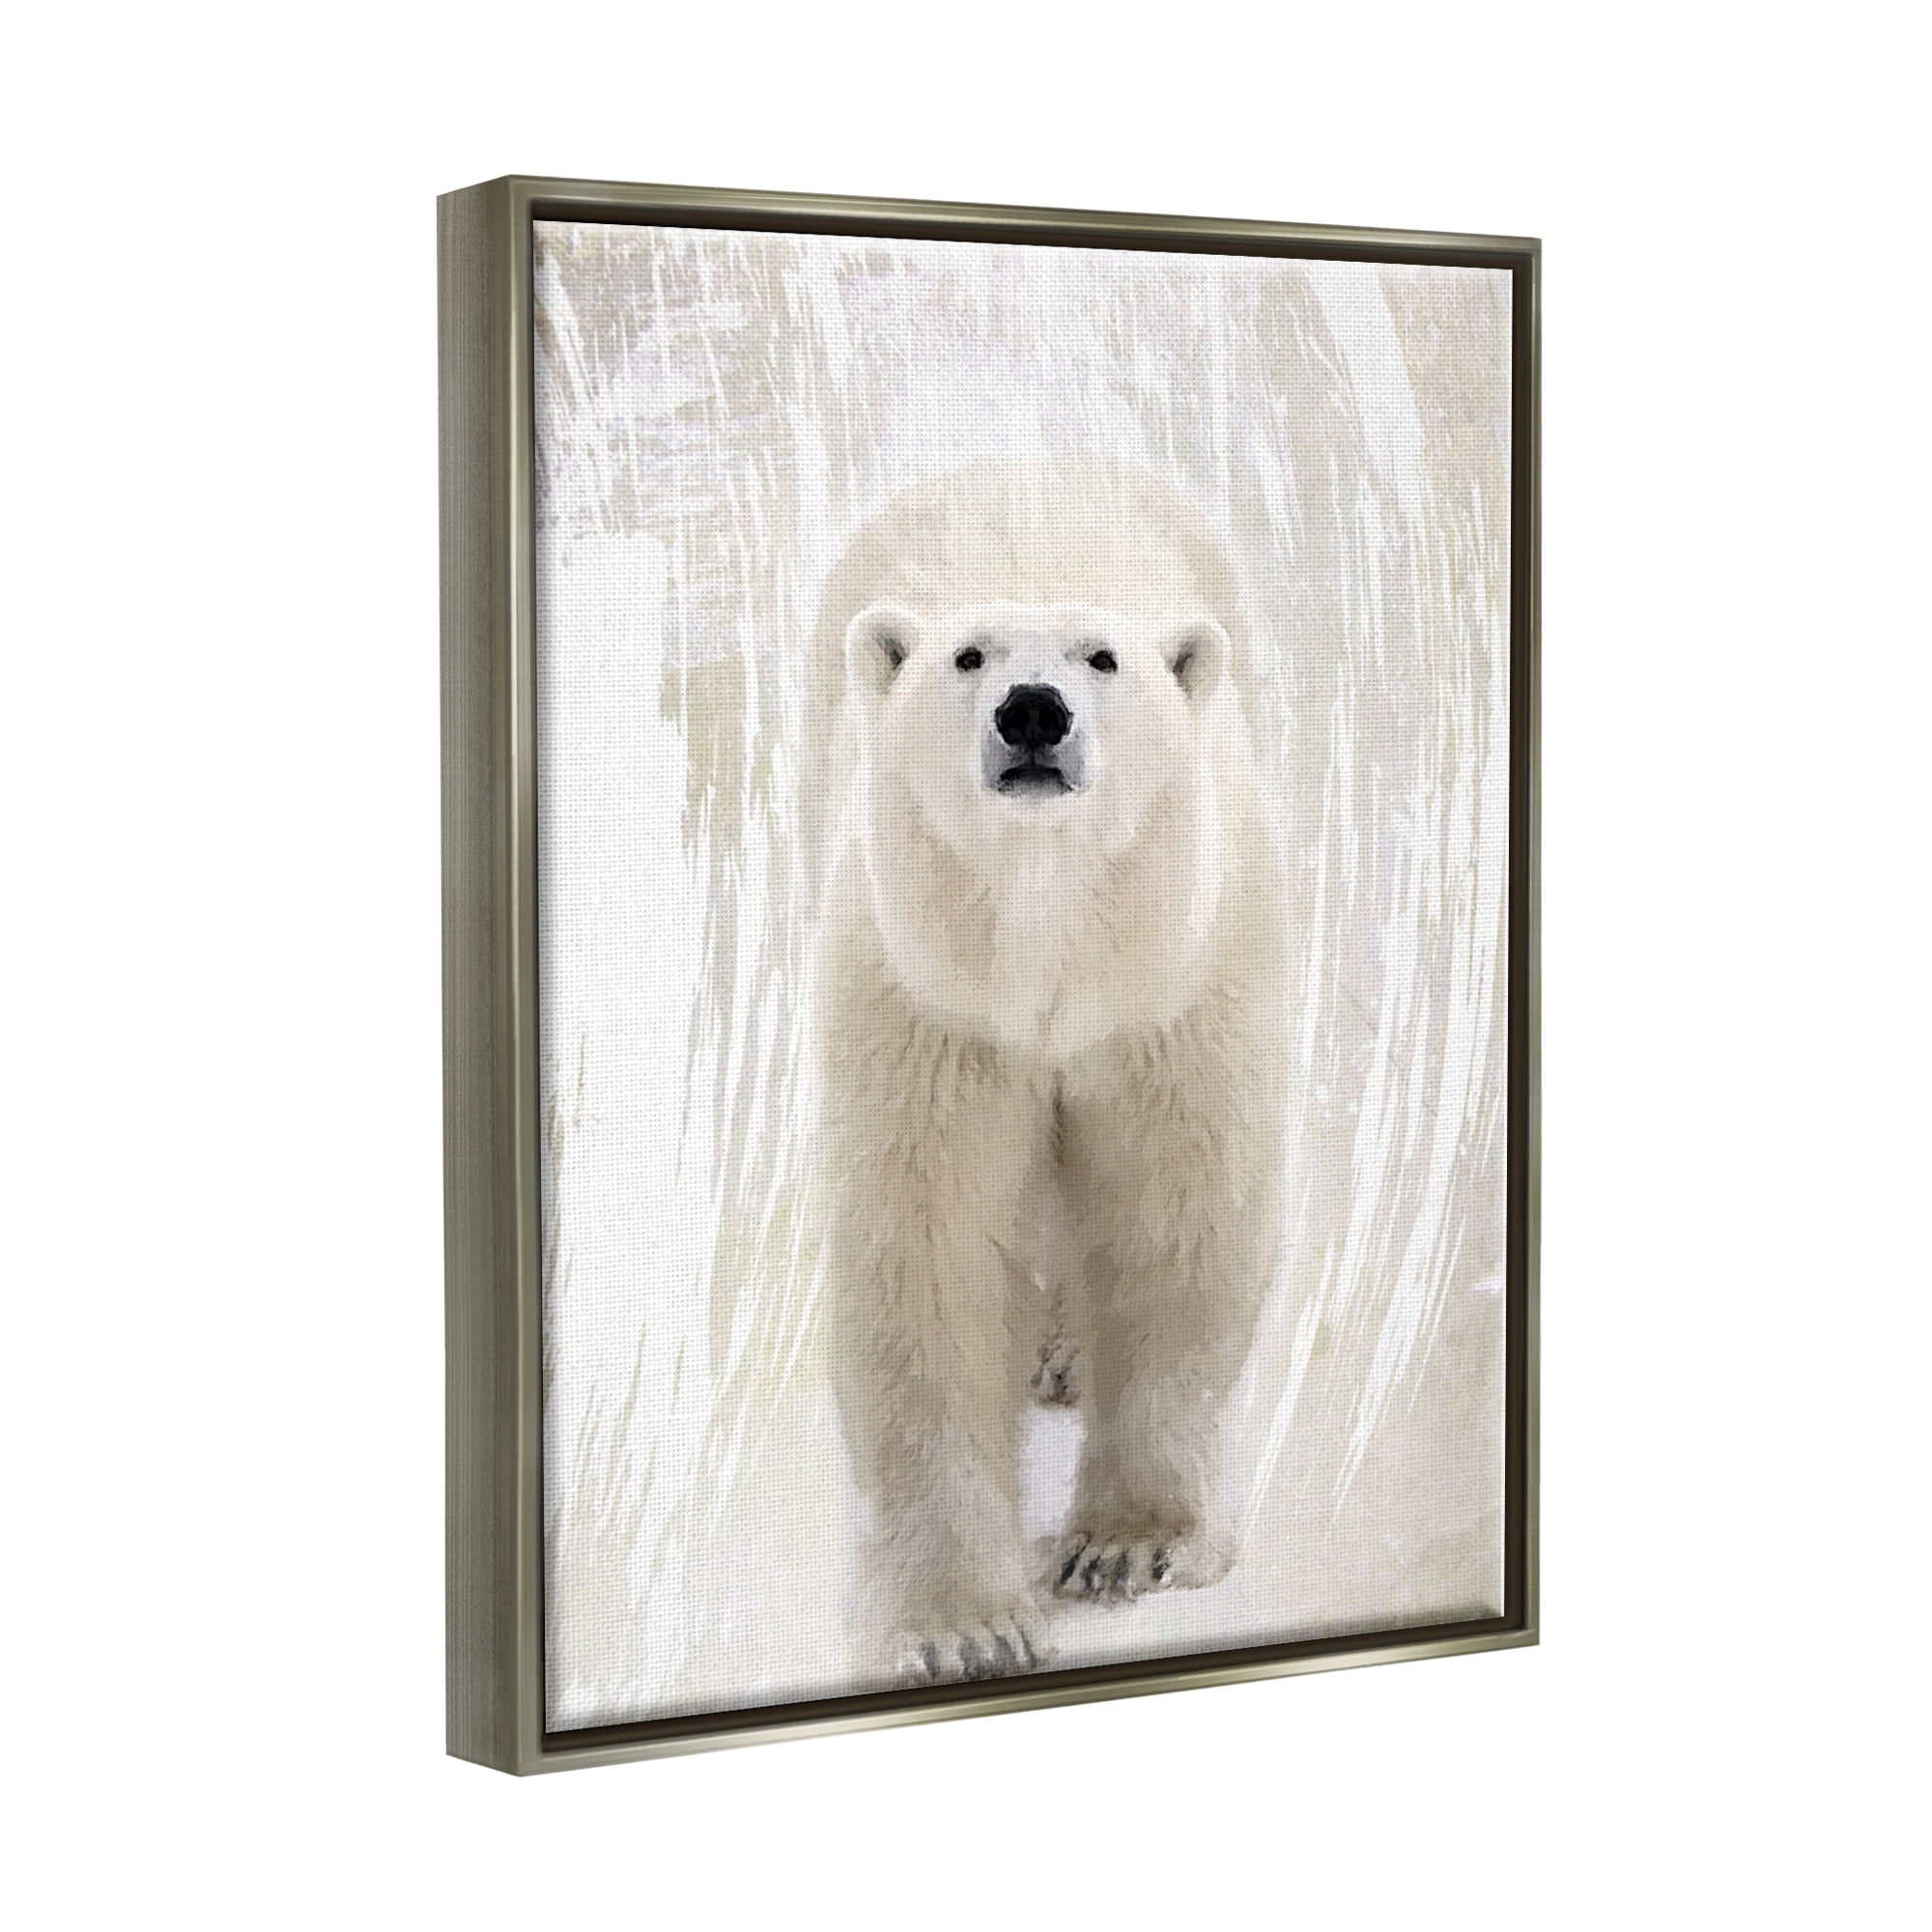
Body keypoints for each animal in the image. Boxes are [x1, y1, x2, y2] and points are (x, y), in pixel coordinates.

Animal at [809, 456, 1290, 1687]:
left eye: (1102, 657)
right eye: (966, 655)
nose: (1033, 709)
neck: (1047, 938)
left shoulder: (1170, 988)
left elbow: (1170, 1210)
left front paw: (1128, 1546)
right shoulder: (931, 1003)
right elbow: (928, 1245)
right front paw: (961, 1624)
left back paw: (1068, 1349)